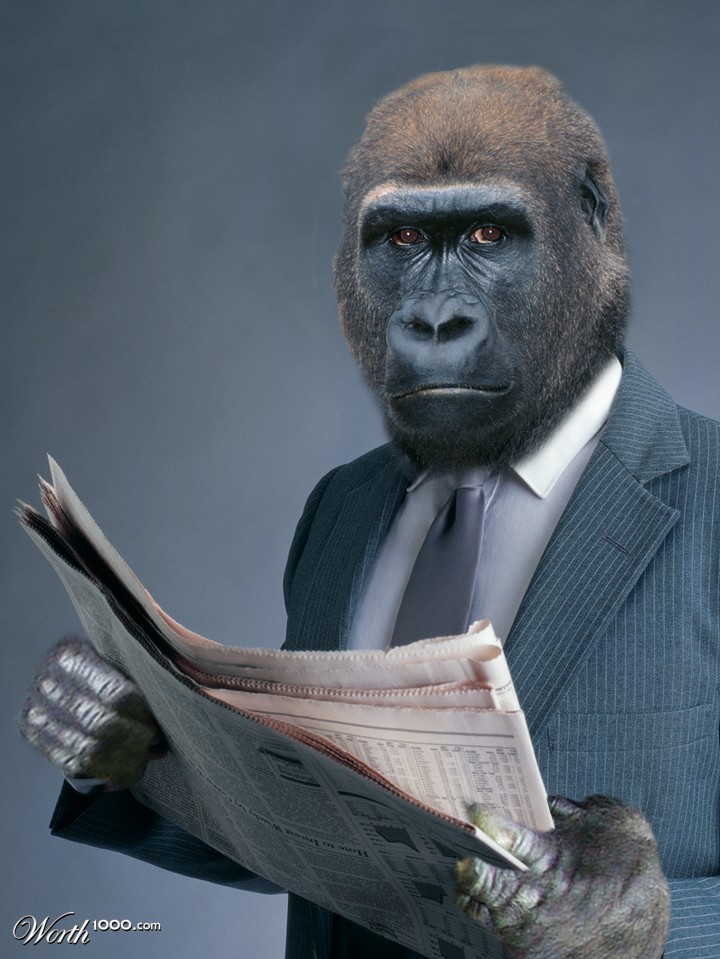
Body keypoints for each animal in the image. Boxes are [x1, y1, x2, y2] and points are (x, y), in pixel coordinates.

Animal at [21, 66, 720, 959]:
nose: (436, 321)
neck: (484, 467)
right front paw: (94, 712)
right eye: (404, 239)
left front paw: (605, 896)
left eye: (490, 234)